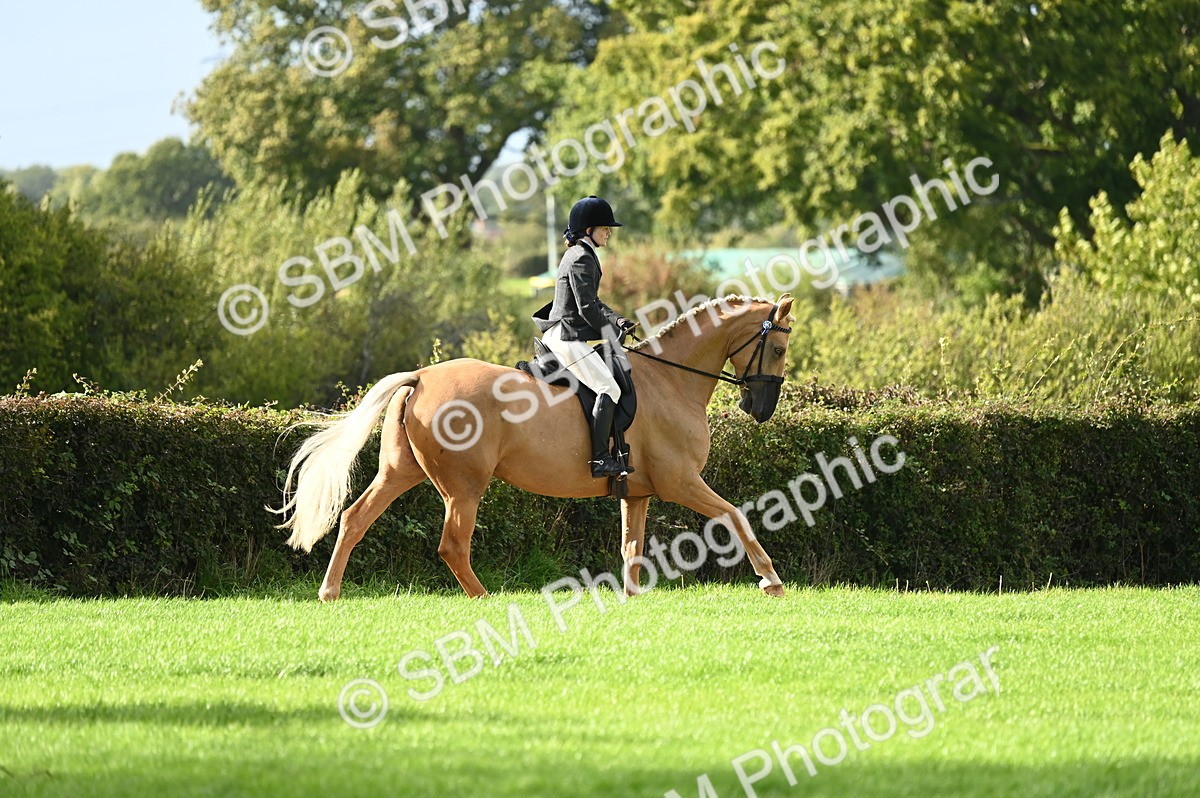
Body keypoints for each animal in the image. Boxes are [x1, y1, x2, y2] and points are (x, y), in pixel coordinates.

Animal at [274, 294, 796, 601]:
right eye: (779, 349)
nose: (761, 408)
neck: (672, 380)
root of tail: (420, 376)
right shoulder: (681, 482)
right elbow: (735, 515)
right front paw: (770, 580)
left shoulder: (639, 492)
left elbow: (631, 546)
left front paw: (631, 600)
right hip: (464, 486)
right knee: (453, 544)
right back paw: (484, 598)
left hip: (400, 472)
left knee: (355, 518)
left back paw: (329, 592)